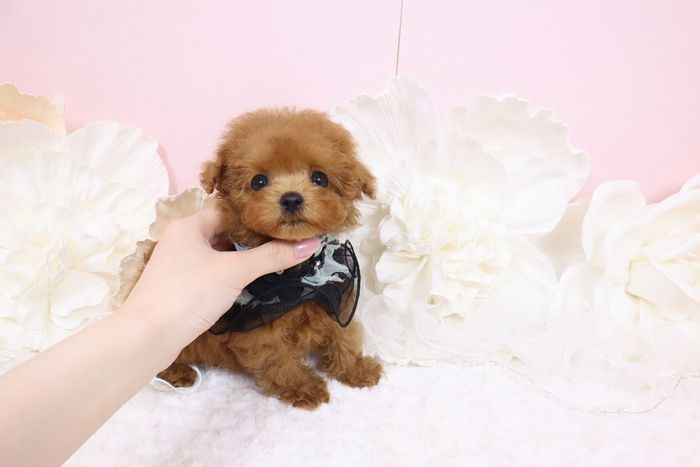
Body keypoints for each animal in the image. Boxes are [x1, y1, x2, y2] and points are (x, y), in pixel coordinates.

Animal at [128, 109, 382, 409]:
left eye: (320, 178)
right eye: (258, 182)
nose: (291, 199)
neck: (299, 278)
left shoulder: (333, 295)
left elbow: (342, 336)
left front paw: (357, 370)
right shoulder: (262, 333)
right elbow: (278, 361)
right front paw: (305, 389)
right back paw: (179, 373)